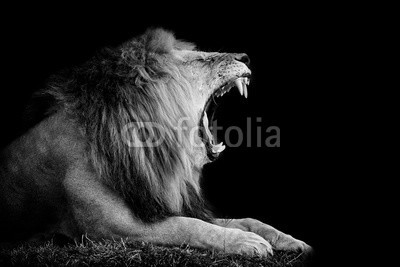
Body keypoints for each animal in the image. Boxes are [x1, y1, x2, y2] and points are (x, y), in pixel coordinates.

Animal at [0, 28, 310, 256]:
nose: (245, 57)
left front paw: (288, 239)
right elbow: (188, 226)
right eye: (201, 60)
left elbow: (245, 220)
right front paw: (246, 242)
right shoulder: (111, 228)